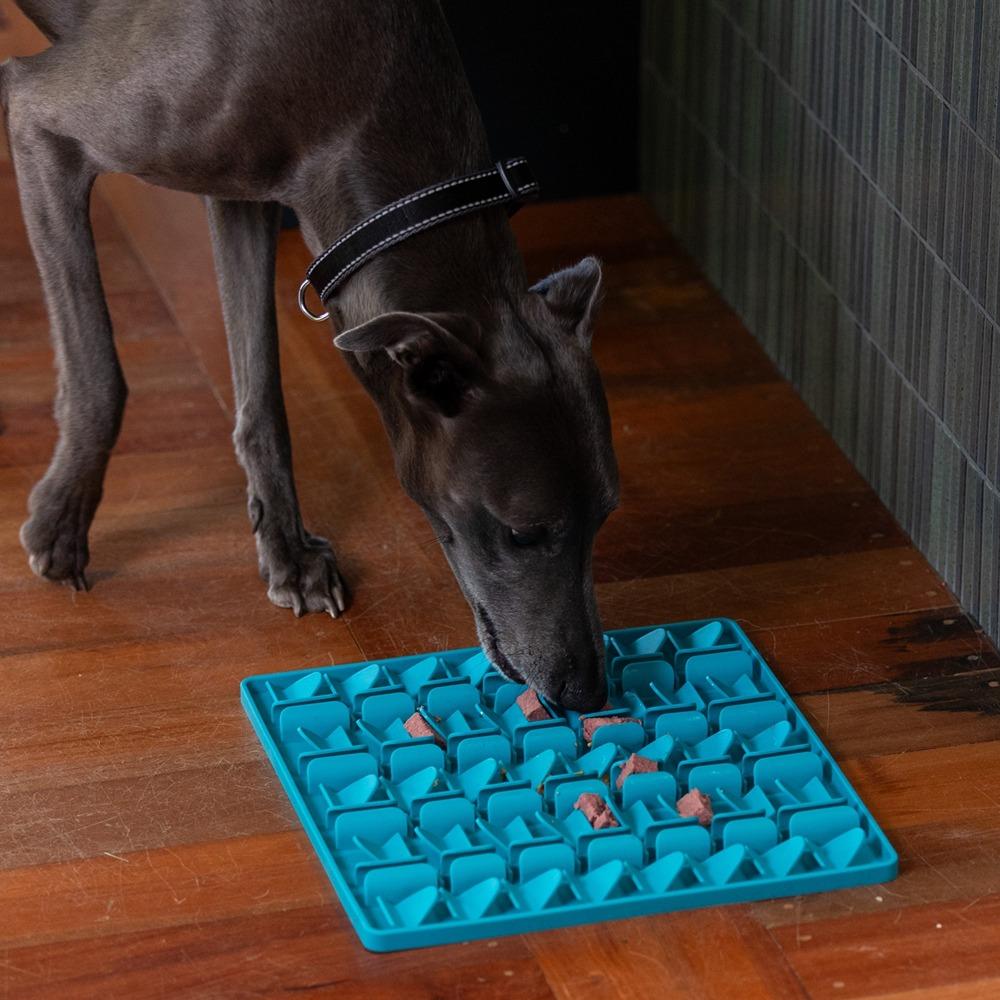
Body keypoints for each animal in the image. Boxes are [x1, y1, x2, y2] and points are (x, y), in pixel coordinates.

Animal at [1, 0, 616, 712]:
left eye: (605, 516)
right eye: (521, 533)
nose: (587, 692)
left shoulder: (242, 190)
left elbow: (262, 393)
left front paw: (288, 553)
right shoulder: (40, 121)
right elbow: (100, 374)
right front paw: (61, 522)